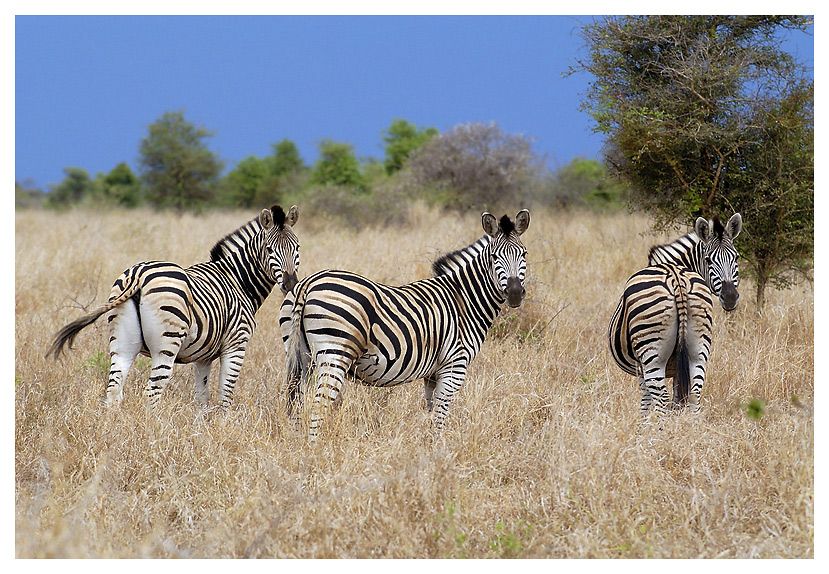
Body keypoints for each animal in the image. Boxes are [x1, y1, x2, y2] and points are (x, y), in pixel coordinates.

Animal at [47, 205, 300, 412]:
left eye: (297, 247)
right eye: (269, 249)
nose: (290, 284)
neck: (237, 280)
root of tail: (138, 276)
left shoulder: (203, 356)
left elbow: (202, 398)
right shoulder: (236, 344)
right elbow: (225, 397)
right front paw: (222, 426)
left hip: (122, 342)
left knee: (113, 390)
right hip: (167, 343)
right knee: (152, 393)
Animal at [274, 212, 528, 440]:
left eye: (524, 254)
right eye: (494, 257)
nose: (515, 293)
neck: (463, 299)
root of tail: (307, 283)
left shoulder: (433, 372)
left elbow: (431, 411)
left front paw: (429, 449)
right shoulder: (454, 365)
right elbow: (441, 415)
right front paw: (440, 452)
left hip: (301, 357)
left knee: (296, 403)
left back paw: (298, 447)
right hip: (335, 353)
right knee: (318, 406)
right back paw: (315, 451)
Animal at [608, 215, 744, 418]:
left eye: (735, 257)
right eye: (708, 260)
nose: (730, 297)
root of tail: (676, 279)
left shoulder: (641, 366)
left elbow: (646, 401)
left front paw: (643, 425)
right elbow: (678, 399)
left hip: (651, 352)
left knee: (661, 398)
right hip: (698, 348)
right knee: (694, 394)